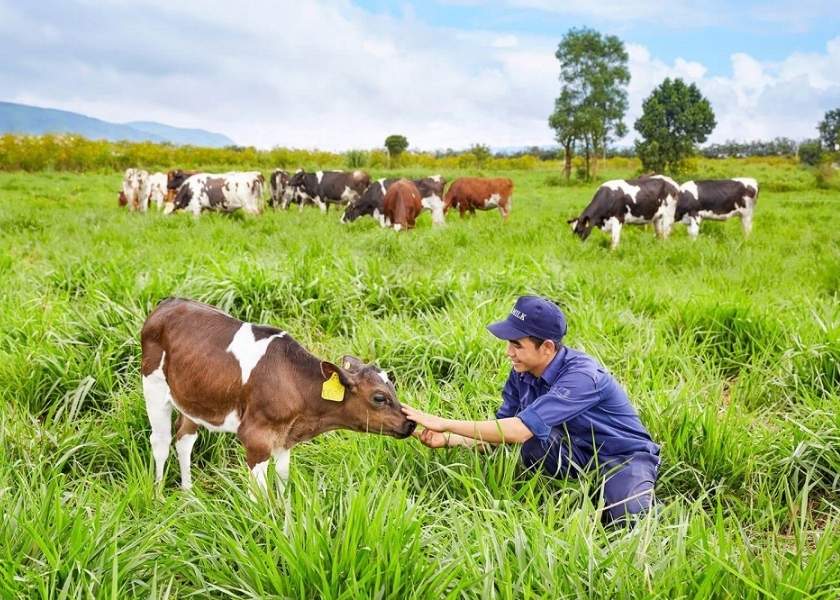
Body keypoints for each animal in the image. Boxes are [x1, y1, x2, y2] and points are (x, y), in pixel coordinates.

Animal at [141, 297, 415, 492]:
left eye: (393, 387)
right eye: (379, 398)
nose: (410, 423)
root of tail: (169, 302)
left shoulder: (284, 439)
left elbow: (283, 481)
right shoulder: (256, 438)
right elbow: (259, 495)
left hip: (194, 395)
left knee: (184, 439)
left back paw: (188, 494)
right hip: (153, 386)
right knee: (161, 441)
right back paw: (159, 495)